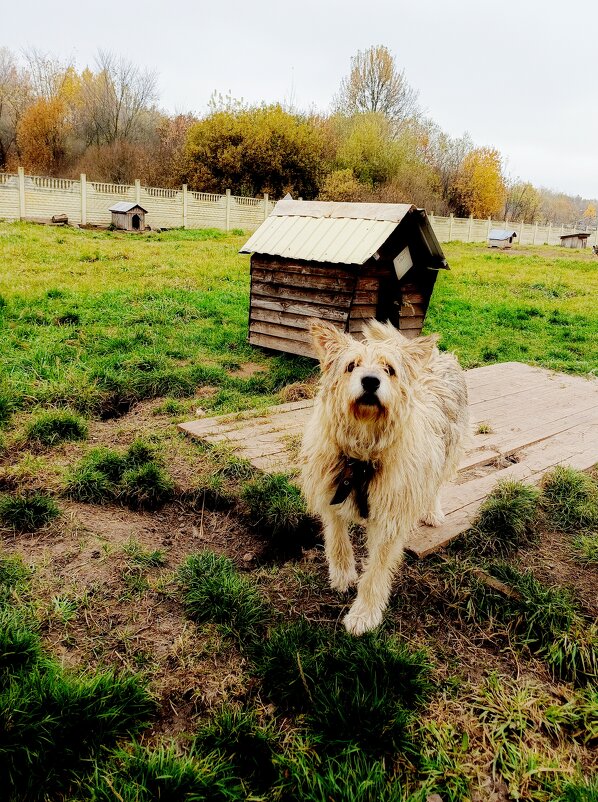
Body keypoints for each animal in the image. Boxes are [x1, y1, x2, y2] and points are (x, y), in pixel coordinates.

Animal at [302, 316, 472, 636]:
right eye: (351, 365)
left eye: (389, 370)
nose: (371, 381)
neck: (364, 453)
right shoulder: (331, 490)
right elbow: (336, 537)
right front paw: (343, 574)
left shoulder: (391, 518)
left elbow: (377, 569)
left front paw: (364, 614)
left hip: (449, 449)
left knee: (435, 484)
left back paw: (432, 511)